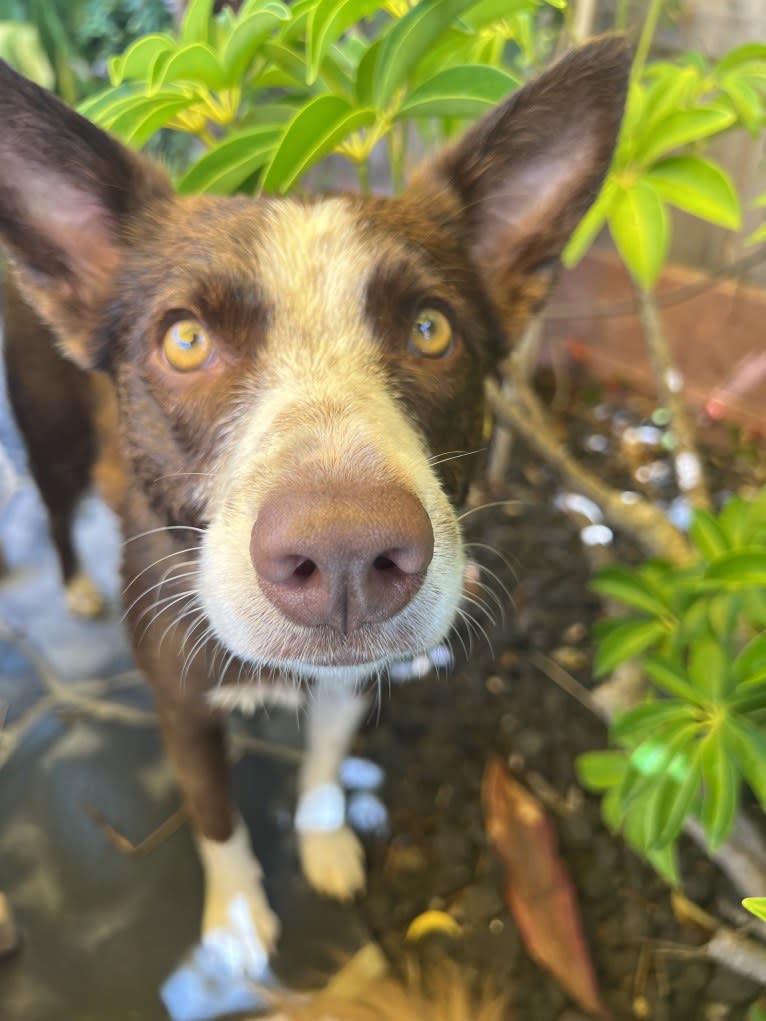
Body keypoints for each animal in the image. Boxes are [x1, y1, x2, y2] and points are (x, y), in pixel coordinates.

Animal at [0, 39, 625, 976]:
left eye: (432, 330)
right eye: (184, 340)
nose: (345, 558)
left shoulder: (348, 682)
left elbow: (326, 758)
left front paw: (326, 842)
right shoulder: (180, 702)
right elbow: (215, 815)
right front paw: (236, 921)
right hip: (52, 434)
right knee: (54, 503)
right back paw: (74, 587)